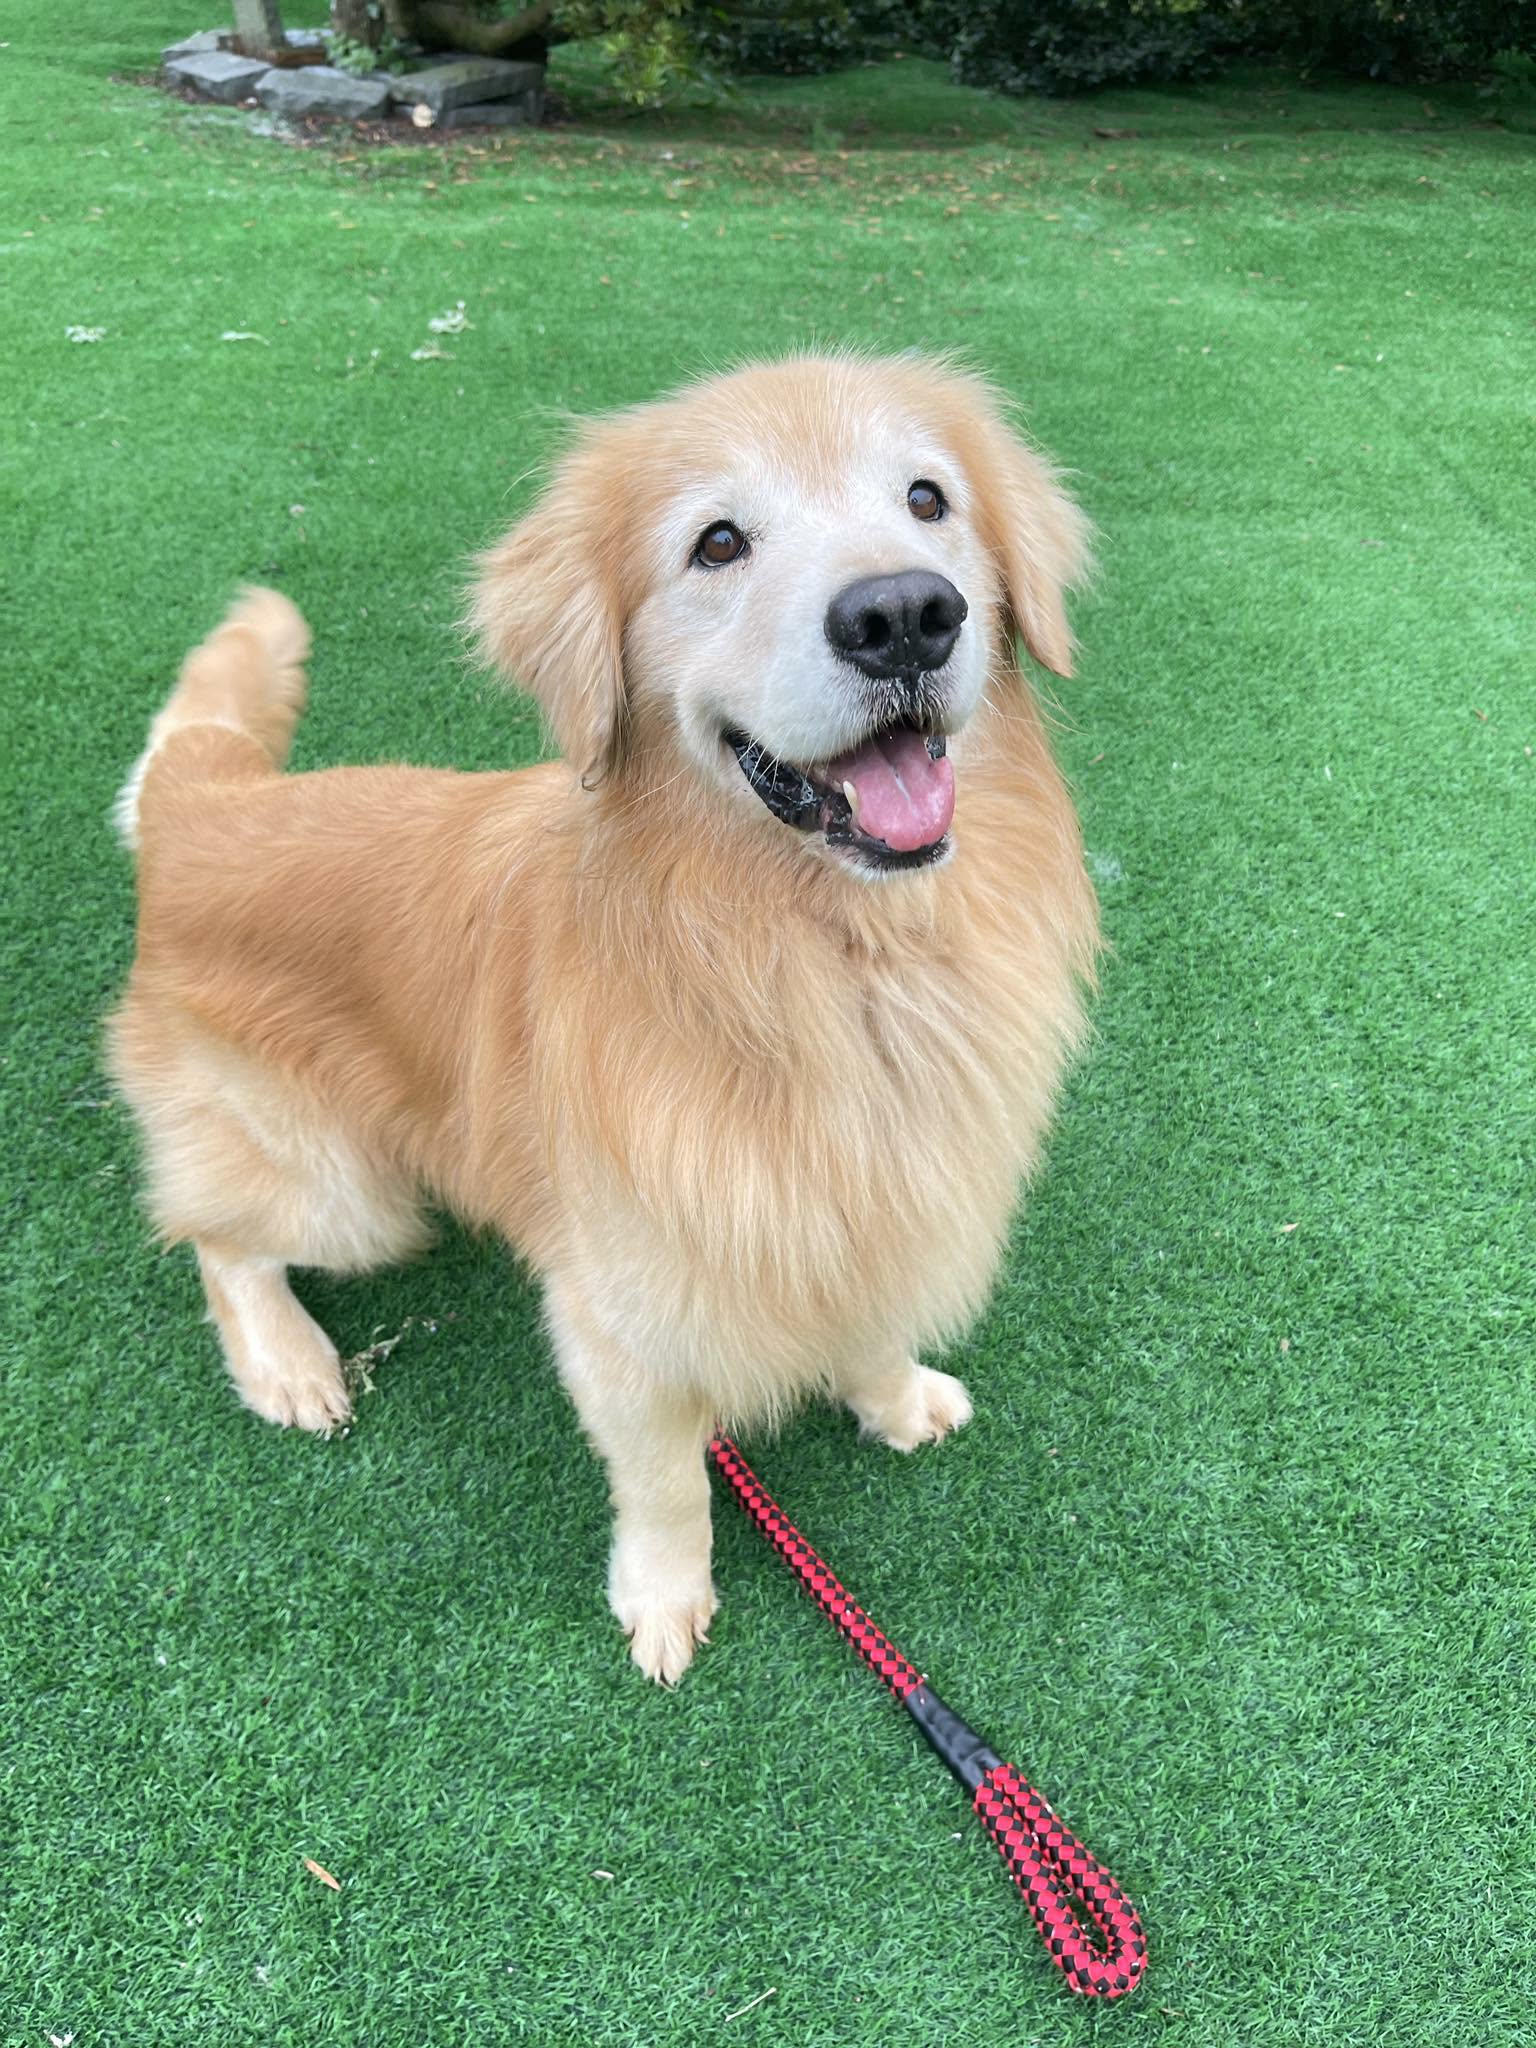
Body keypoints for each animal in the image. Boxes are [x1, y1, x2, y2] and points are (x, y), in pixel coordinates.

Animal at [108, 352, 1099, 1682]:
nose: (904, 614)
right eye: (718, 542)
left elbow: (873, 1324)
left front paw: (893, 1401)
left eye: (928, 499)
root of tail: (207, 806)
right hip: (345, 1189)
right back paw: (291, 1363)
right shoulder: (624, 1313)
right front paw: (666, 1598)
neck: (829, 966)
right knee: (219, 1237)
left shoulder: (877, 1195)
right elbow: (672, 1482)